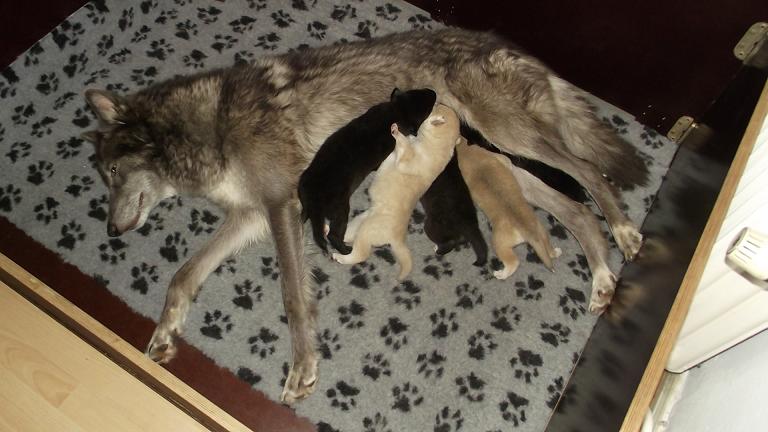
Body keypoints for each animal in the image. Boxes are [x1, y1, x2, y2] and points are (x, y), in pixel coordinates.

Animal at [296, 89, 436, 255]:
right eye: (428, 107)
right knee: (333, 235)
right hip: (340, 208)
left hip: (305, 197)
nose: (433, 92)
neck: (396, 111)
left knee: (306, 216)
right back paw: (346, 250)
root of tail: (314, 199)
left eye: (419, 91)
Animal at [332, 104, 462, 280]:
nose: (437, 102)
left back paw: (340, 257)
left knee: (360, 254)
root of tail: (398, 239)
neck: (436, 145)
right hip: (359, 223)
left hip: (367, 230)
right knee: (346, 235)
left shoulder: (408, 160)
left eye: (435, 106)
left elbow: (404, 144)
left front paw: (397, 131)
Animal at [452, 142, 560, 280]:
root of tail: (528, 230)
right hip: (542, 233)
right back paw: (555, 252)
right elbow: (507, 161)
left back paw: (500, 274)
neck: (465, 151)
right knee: (548, 250)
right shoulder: (500, 159)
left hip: (499, 243)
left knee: (513, 262)